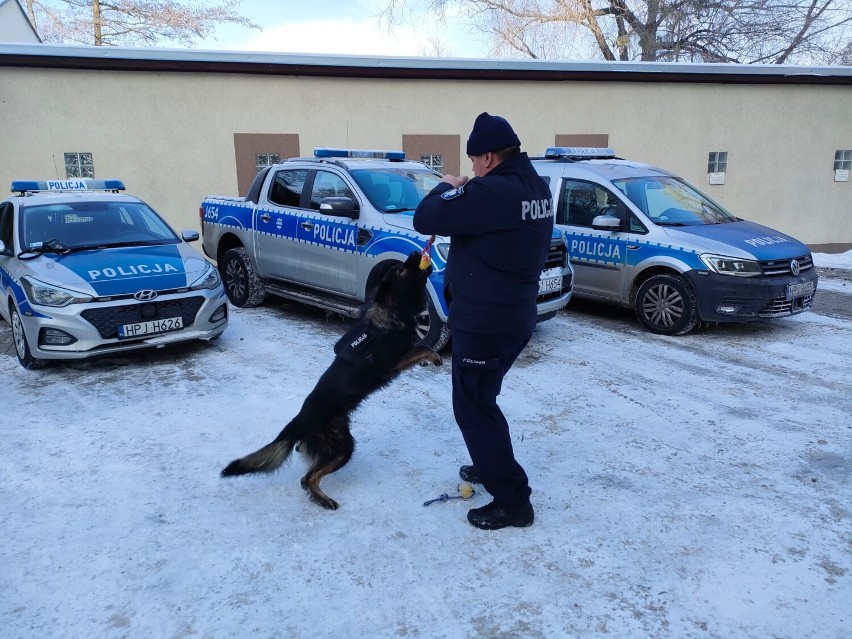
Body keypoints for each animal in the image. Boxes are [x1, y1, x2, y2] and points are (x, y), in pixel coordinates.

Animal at [220, 250, 440, 510]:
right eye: (401, 271)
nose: (416, 252)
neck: (390, 311)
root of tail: (299, 420)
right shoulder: (391, 365)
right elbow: (423, 347)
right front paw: (434, 357)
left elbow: (421, 347)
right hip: (342, 447)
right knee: (307, 478)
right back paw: (324, 500)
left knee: (306, 479)